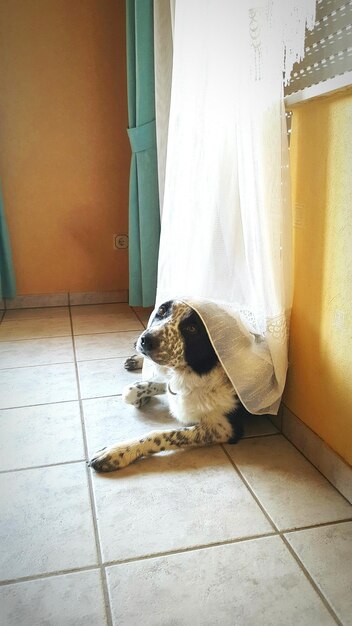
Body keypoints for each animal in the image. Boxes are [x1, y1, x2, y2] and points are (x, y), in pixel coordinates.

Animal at [88, 300, 245, 470]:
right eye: (161, 311)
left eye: (192, 328)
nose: (146, 340)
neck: (202, 368)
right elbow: (131, 391)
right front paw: (141, 396)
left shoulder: (224, 428)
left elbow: (160, 434)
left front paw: (119, 452)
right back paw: (136, 358)